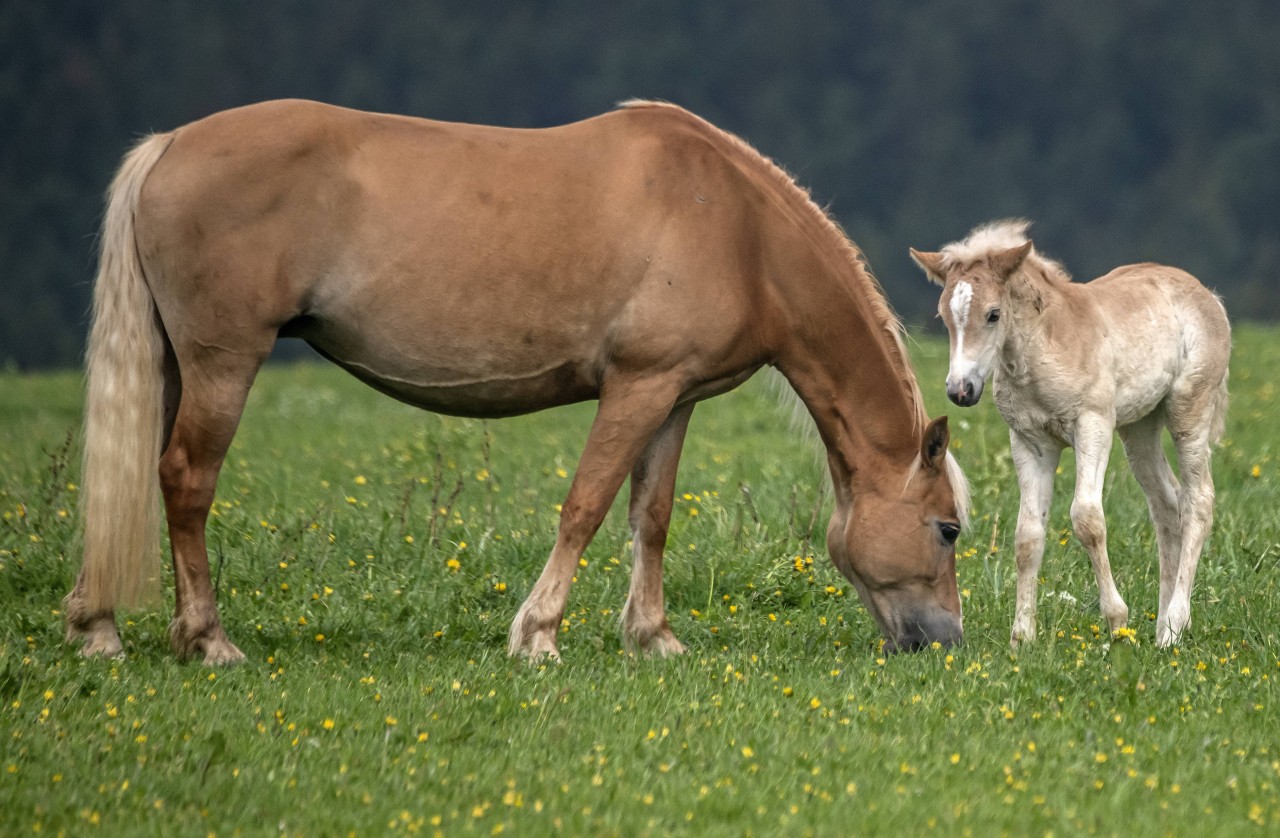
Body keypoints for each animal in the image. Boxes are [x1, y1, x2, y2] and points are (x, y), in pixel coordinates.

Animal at [64, 98, 962, 665]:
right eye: (948, 529)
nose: (946, 640)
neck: (739, 231)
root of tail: (168, 146)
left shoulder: (673, 399)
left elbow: (651, 517)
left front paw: (654, 638)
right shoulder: (636, 388)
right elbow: (586, 506)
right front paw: (538, 635)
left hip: (176, 367)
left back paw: (97, 626)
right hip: (224, 363)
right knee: (187, 481)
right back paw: (208, 640)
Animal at [911, 221, 1228, 649]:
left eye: (993, 314)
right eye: (944, 316)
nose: (961, 390)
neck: (1042, 347)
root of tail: (1209, 296)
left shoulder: (1093, 426)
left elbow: (1087, 519)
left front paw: (1116, 621)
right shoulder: (1030, 443)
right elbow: (1027, 535)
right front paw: (1022, 638)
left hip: (1188, 410)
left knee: (1198, 502)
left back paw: (1174, 628)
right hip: (1139, 427)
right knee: (1167, 505)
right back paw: (1162, 626)